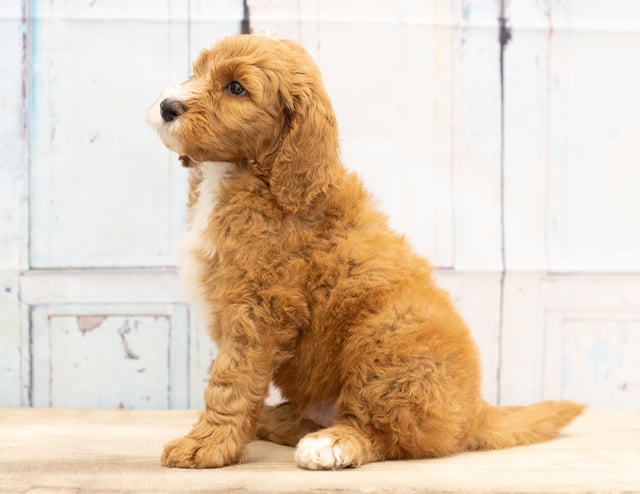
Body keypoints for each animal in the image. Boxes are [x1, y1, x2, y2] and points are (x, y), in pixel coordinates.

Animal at [146, 34, 584, 470]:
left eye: (236, 88)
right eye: (197, 71)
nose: (168, 107)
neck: (252, 174)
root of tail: (476, 411)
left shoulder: (260, 308)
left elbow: (230, 381)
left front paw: (205, 445)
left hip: (390, 333)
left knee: (382, 429)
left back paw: (332, 443)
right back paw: (281, 421)